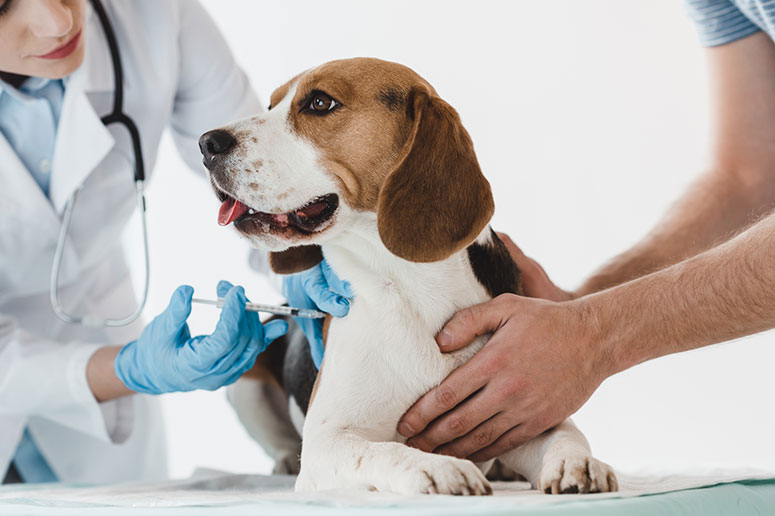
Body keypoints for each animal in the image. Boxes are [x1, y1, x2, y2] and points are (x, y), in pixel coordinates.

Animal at [202, 57, 620, 496]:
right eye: (270, 105)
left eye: (319, 102)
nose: (207, 143)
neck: (410, 290)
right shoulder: (327, 443)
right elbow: (384, 451)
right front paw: (439, 467)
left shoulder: (523, 408)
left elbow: (565, 435)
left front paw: (578, 463)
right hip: (245, 380)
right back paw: (284, 459)